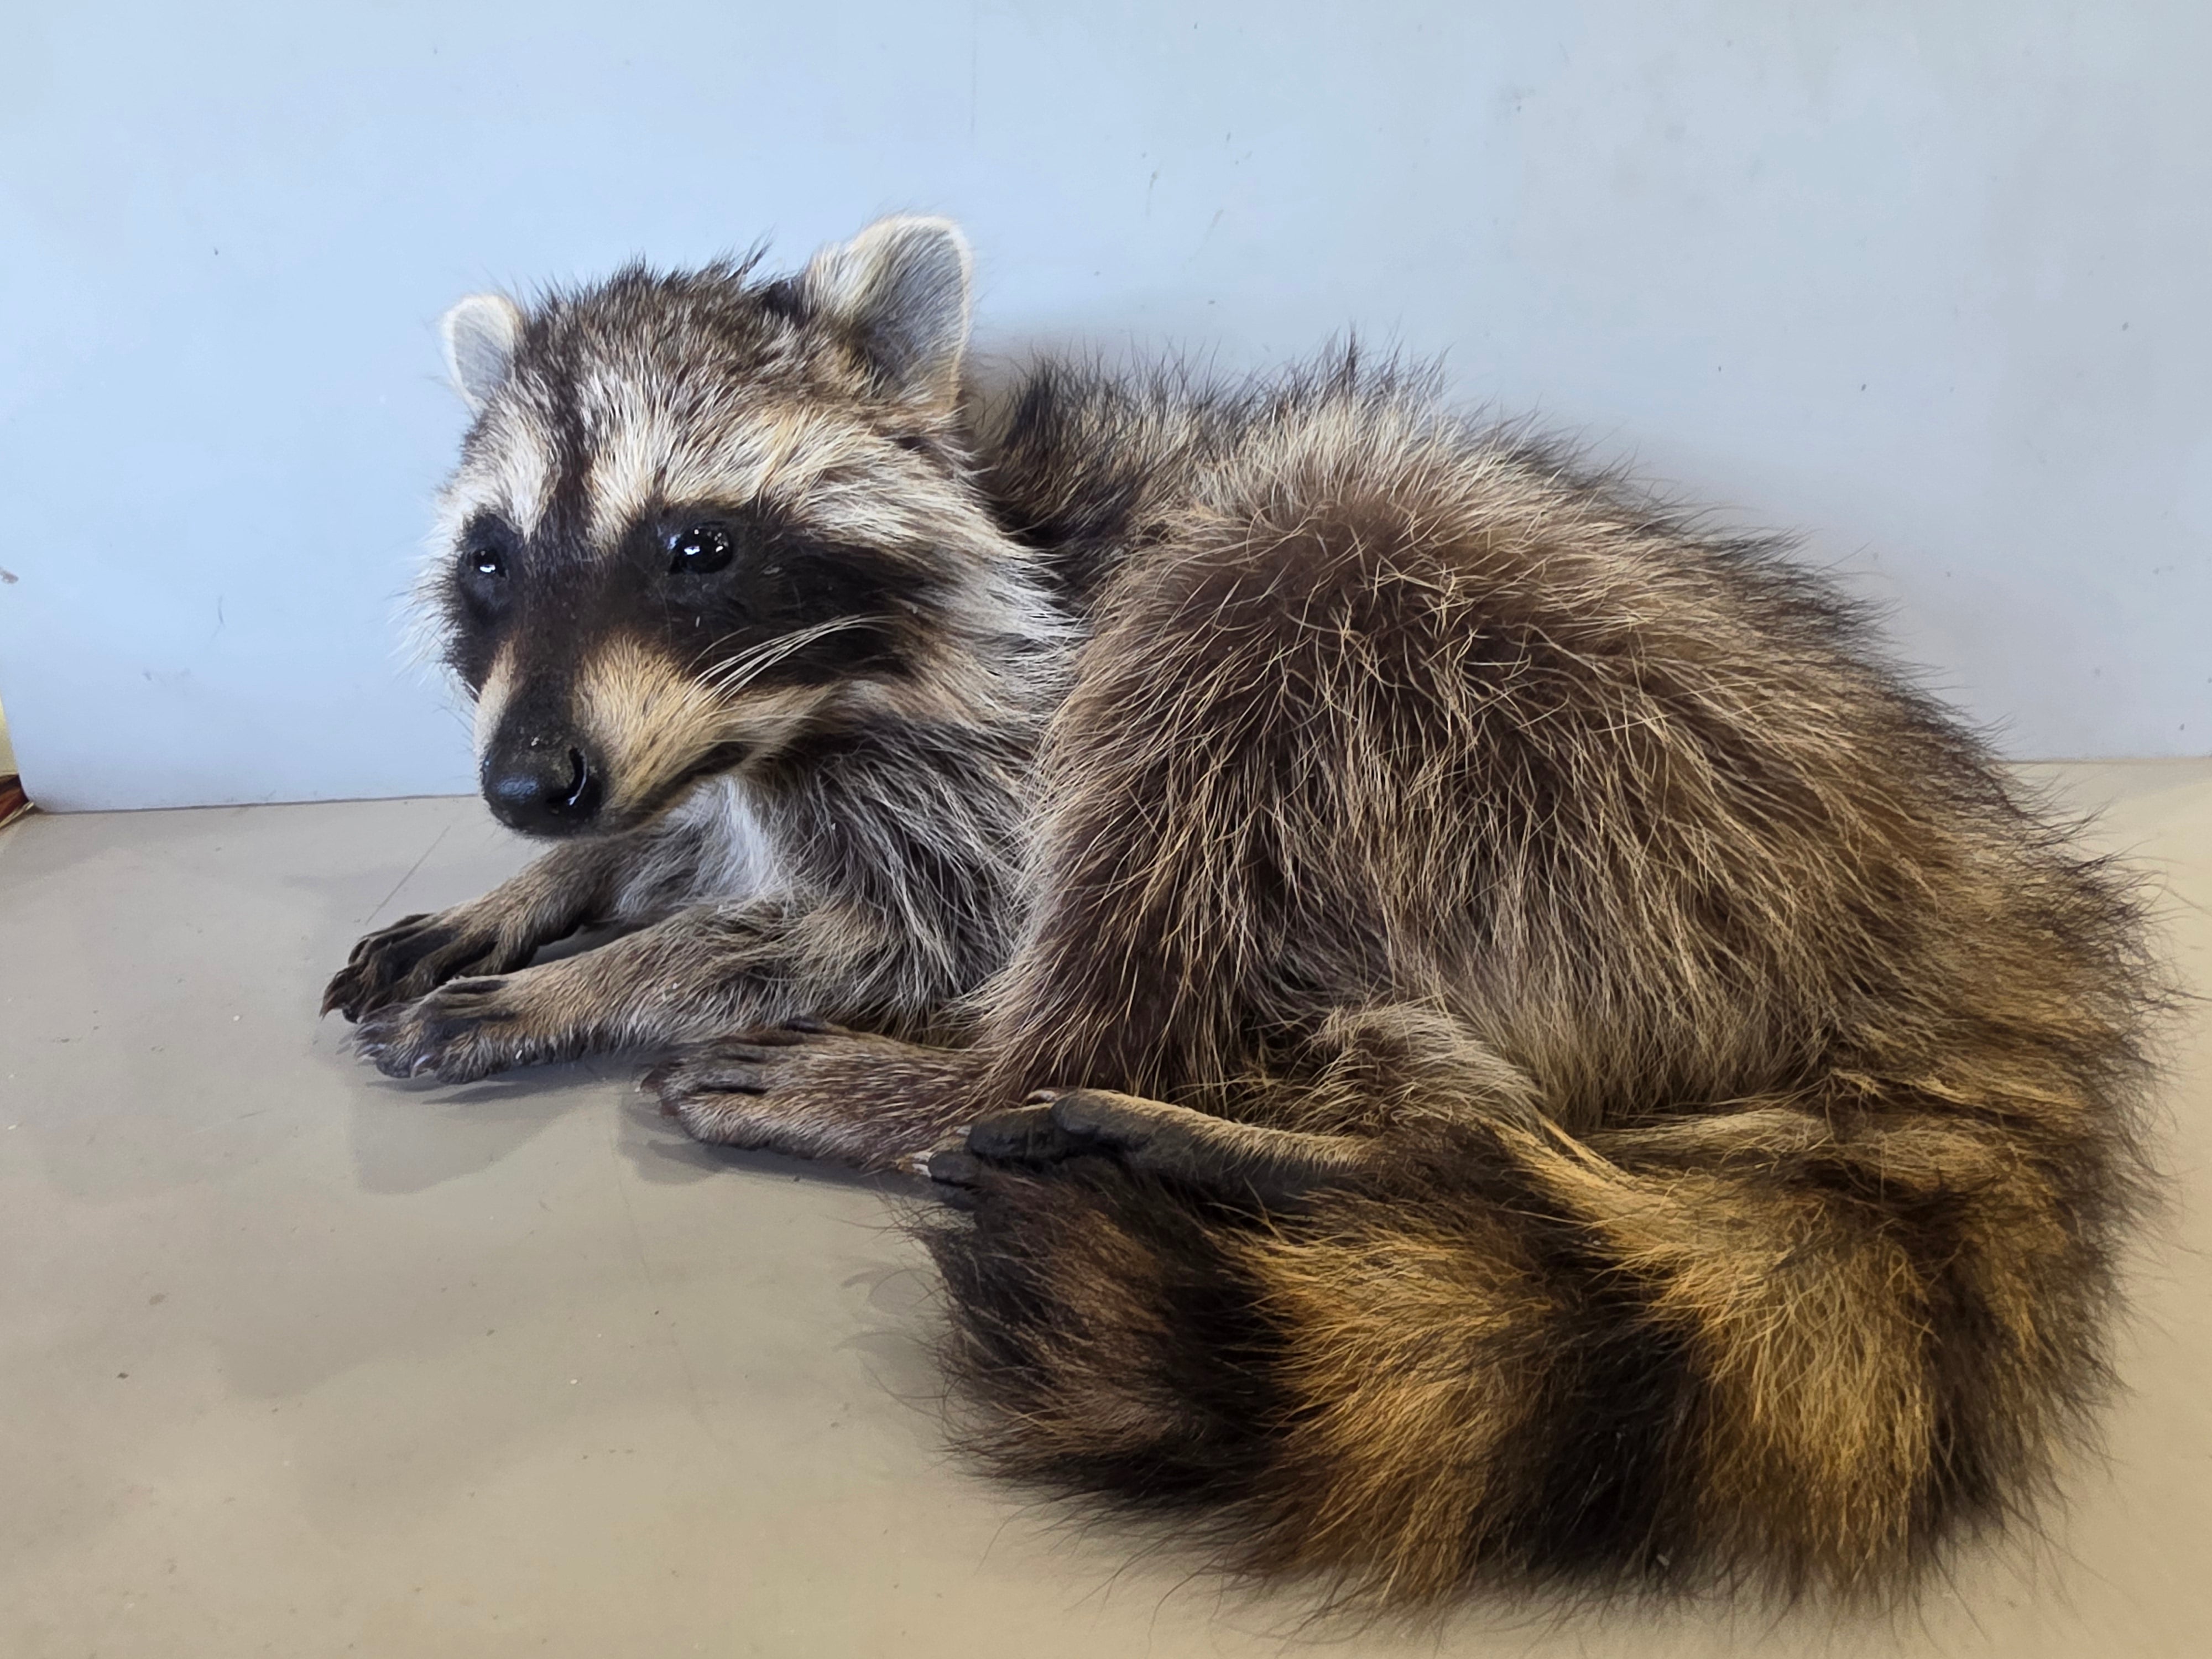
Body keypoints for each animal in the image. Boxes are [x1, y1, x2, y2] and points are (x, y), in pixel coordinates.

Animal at [324, 216, 2161, 1607]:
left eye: (694, 546)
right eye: (493, 561)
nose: (532, 785)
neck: (781, 715)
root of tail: (1960, 885)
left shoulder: (1004, 740)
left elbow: (909, 922)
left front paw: (618, 969)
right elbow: (692, 844)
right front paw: (548, 889)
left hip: (1487, 684)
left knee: (1197, 780)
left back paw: (1123, 1107)